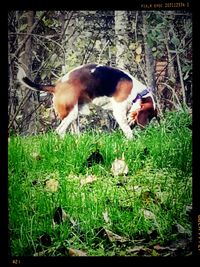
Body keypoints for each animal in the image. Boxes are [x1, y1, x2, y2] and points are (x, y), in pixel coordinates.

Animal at [16, 63, 158, 139]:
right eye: (148, 116)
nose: (145, 129)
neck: (137, 93)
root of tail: (56, 86)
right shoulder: (119, 112)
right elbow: (127, 130)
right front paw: (132, 140)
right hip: (71, 113)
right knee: (60, 131)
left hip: (74, 113)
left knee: (73, 131)